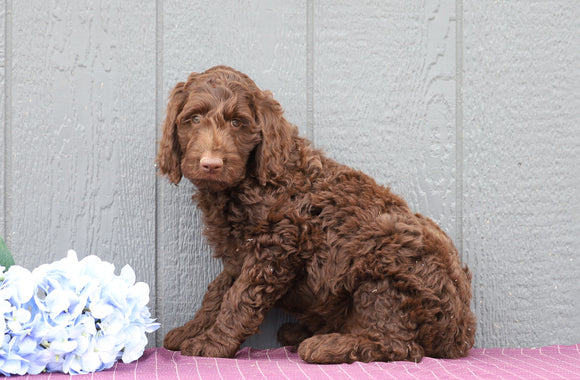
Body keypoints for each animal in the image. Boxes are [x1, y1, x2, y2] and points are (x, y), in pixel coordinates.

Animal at [155, 66, 476, 366]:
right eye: (194, 119)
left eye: (237, 123)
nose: (210, 164)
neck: (251, 181)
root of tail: (461, 332)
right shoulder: (239, 254)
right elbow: (217, 293)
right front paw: (190, 330)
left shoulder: (275, 249)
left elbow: (239, 298)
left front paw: (212, 344)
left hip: (386, 265)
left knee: (399, 344)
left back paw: (325, 345)